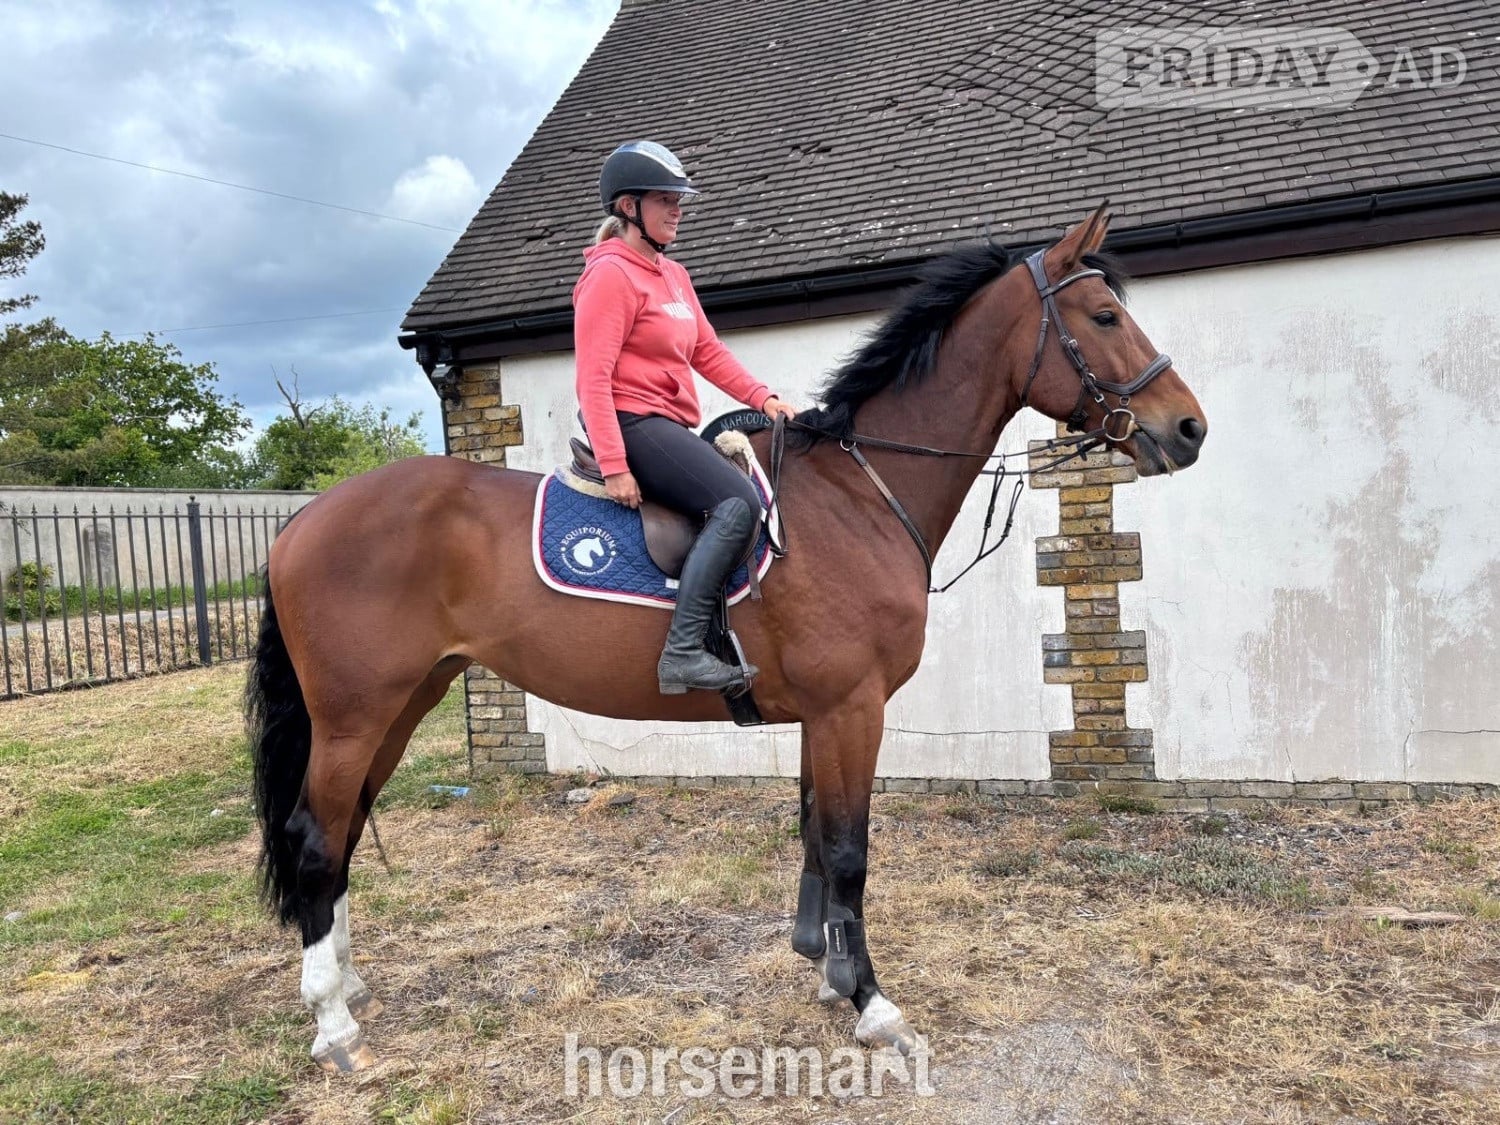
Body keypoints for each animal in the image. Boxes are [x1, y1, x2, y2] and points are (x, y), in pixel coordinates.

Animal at [247, 205, 1207, 1073]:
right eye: (1105, 316)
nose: (1189, 427)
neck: (858, 496)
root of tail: (303, 524)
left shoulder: (826, 714)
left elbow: (817, 833)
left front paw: (827, 967)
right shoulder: (851, 708)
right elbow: (850, 850)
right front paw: (873, 1004)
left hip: (403, 702)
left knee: (342, 830)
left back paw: (348, 980)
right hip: (356, 713)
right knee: (315, 837)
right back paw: (333, 1022)